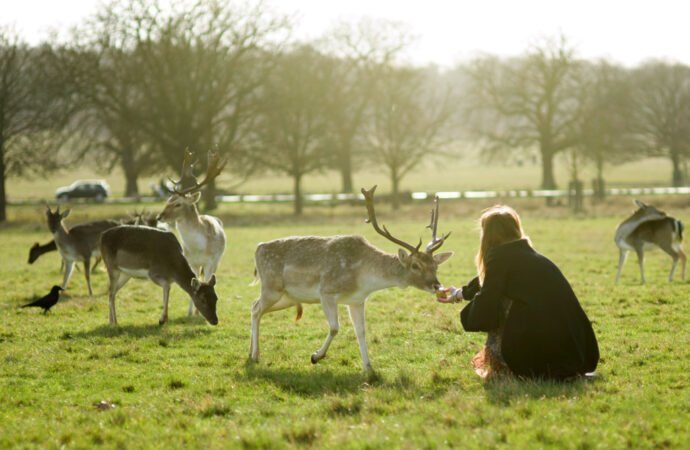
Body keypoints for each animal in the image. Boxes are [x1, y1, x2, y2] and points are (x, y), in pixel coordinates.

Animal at [156, 151, 226, 316]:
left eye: (178, 204)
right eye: (167, 201)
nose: (159, 217)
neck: (198, 247)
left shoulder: (210, 261)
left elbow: (206, 281)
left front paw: (198, 313)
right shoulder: (190, 261)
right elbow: (194, 282)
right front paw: (190, 311)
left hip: (217, 260)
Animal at [250, 185, 454, 370]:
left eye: (435, 265)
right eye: (415, 265)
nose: (436, 285)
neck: (362, 279)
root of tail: (258, 248)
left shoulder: (357, 300)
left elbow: (361, 331)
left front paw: (369, 369)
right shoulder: (326, 291)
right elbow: (335, 327)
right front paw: (316, 356)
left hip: (287, 298)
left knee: (254, 306)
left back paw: (252, 353)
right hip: (271, 287)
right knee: (256, 309)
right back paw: (254, 355)